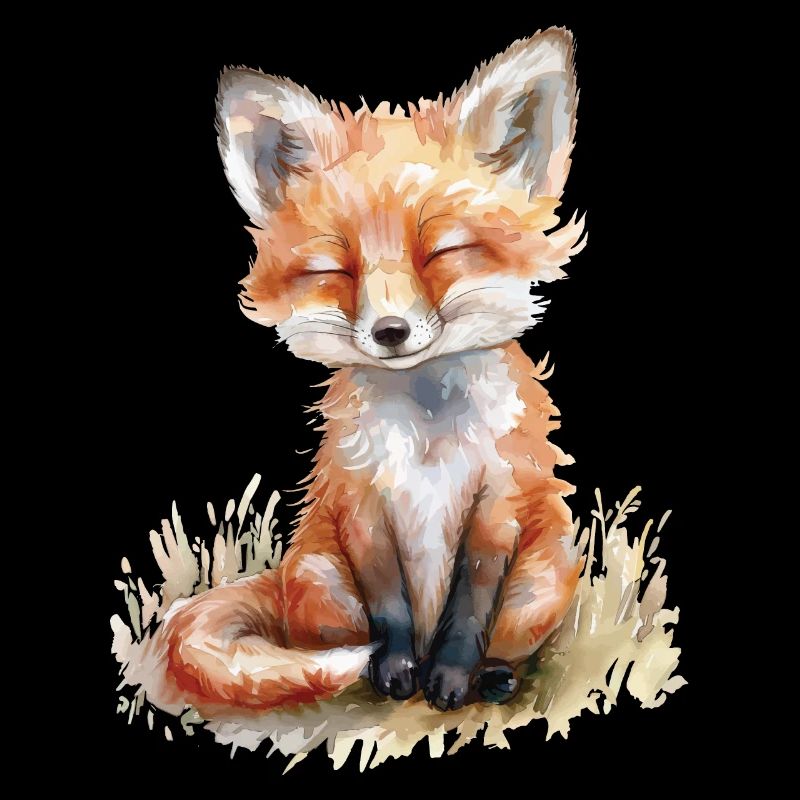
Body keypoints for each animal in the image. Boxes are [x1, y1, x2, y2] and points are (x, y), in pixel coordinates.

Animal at [162, 27, 587, 714]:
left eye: (442, 251)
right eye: (337, 268)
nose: (391, 332)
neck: (428, 439)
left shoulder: (497, 508)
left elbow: (468, 615)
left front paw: (449, 682)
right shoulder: (361, 503)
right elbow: (389, 612)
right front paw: (396, 672)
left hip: (543, 581)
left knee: (504, 641)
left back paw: (494, 677)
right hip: (320, 578)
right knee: (321, 637)